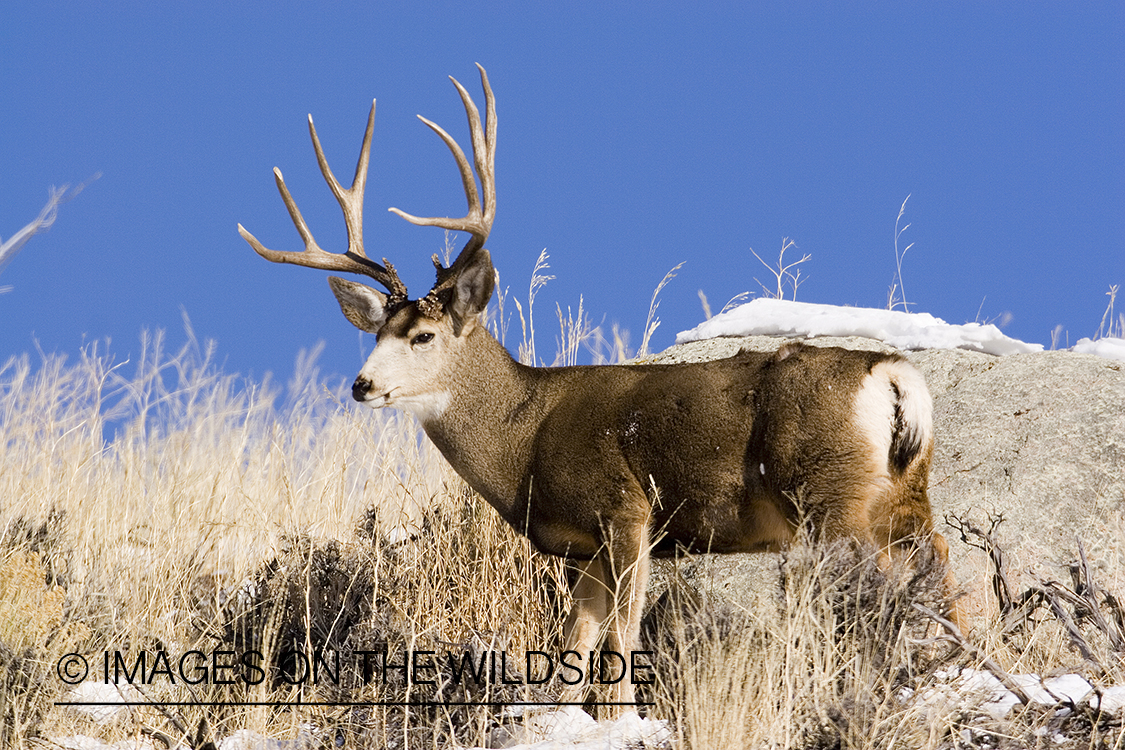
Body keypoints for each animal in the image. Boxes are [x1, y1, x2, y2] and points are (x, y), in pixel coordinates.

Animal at [239, 64, 958, 710]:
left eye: (423, 336)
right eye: (375, 334)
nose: (361, 385)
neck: (525, 438)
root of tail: (892, 375)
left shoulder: (625, 509)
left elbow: (620, 643)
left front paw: (624, 718)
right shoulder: (581, 551)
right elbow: (574, 652)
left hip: (829, 492)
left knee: (882, 592)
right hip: (901, 494)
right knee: (942, 569)